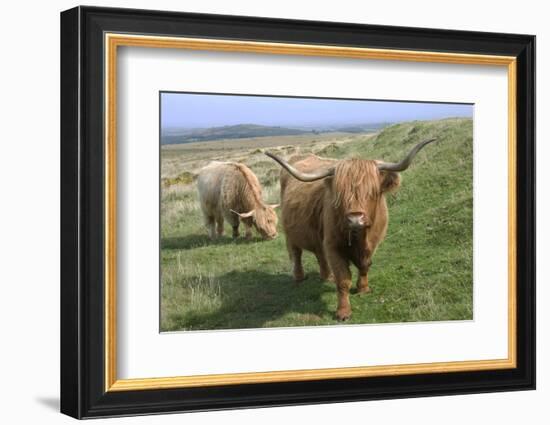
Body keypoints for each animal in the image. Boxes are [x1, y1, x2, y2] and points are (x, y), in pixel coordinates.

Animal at [268, 137, 440, 320]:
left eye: (372, 192)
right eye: (340, 194)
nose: (355, 219)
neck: (360, 237)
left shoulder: (373, 242)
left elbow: (365, 265)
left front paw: (363, 288)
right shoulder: (333, 246)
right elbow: (343, 279)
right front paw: (343, 311)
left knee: (319, 253)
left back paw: (327, 276)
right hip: (290, 232)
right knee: (296, 253)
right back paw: (300, 277)